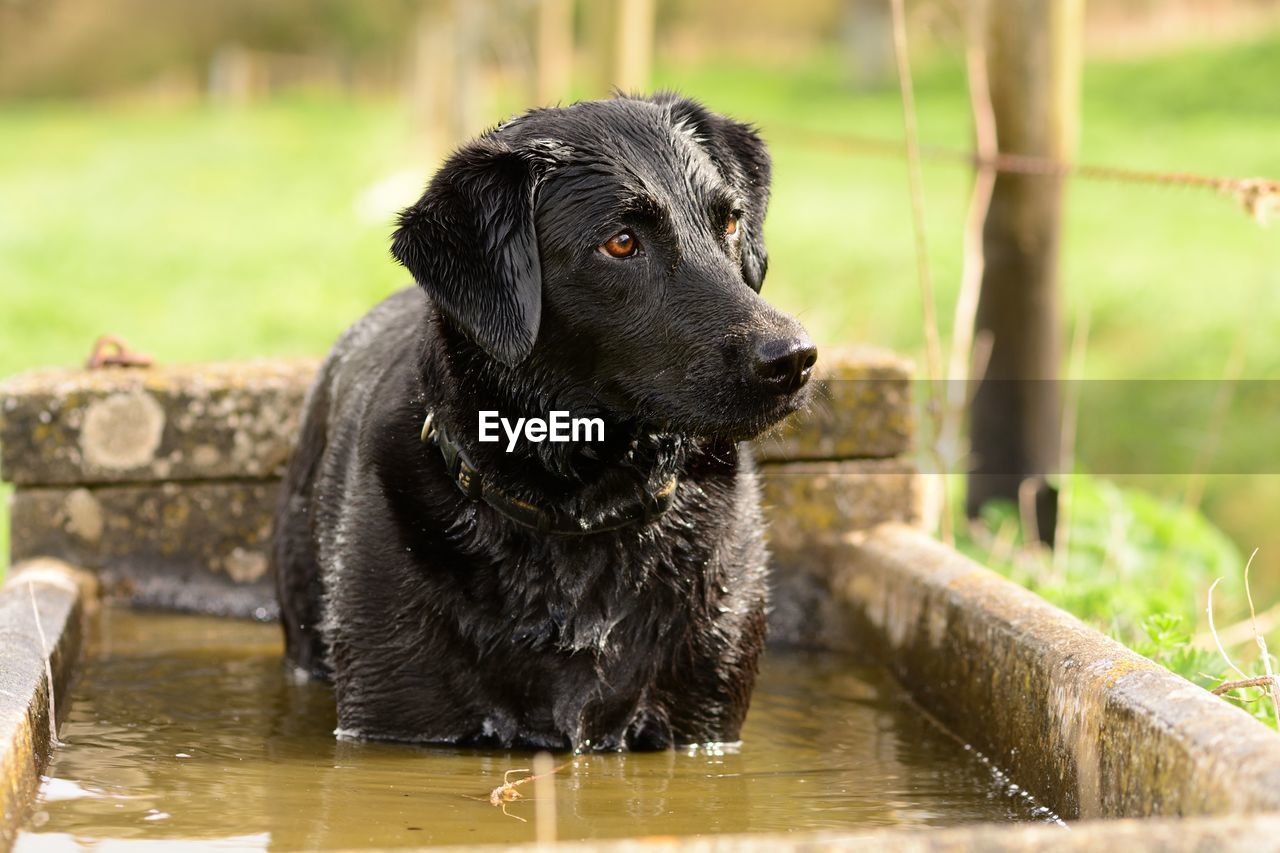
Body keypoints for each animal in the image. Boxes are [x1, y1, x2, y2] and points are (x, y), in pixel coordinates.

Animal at [273, 89, 814, 747]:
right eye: (621, 243)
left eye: (730, 223)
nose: (793, 359)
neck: (579, 512)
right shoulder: (393, 722)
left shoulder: (703, 720)